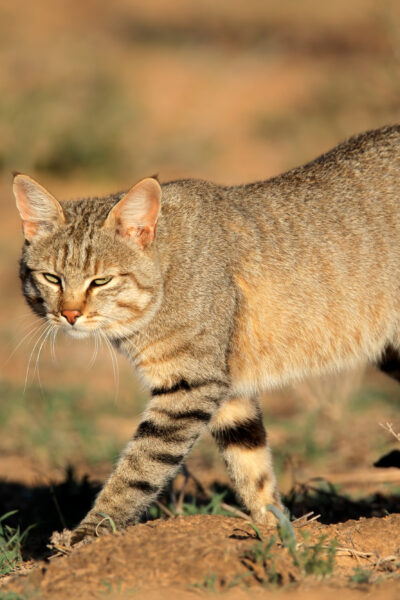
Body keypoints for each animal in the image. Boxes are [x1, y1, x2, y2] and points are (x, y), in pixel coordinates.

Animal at [14, 124, 400, 540]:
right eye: (52, 278)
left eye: (101, 281)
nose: (69, 314)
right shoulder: (229, 390)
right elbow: (250, 464)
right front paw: (276, 531)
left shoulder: (190, 385)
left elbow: (138, 468)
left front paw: (92, 531)